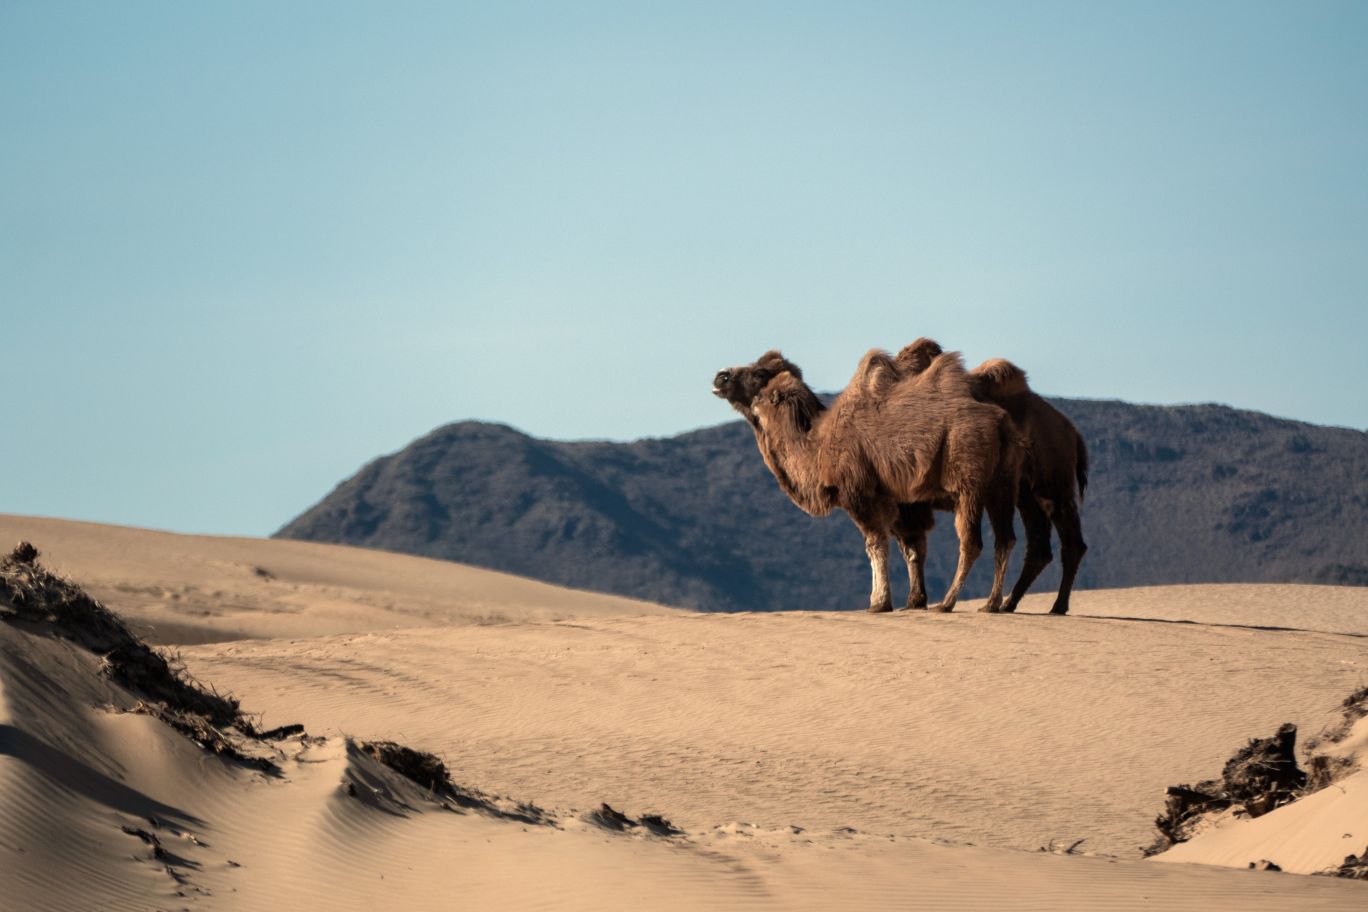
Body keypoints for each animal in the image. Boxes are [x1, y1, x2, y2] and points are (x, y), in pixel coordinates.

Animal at [713, 349, 1023, 613]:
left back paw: (947, 603)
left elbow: (875, 544)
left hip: (968, 479)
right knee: (1005, 539)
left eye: (758, 373)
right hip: (1002, 484)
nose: (720, 376)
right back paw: (991, 604)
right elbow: (912, 547)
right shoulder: (903, 500)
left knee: (971, 541)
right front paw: (912, 601)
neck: (818, 446)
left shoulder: (859, 494)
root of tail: (999, 420)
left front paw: (878, 603)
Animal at [893, 338, 1089, 614]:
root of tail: (1072, 431)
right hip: (1025, 491)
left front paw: (916, 601)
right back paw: (1008, 603)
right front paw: (914, 601)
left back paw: (1054, 606)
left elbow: (912, 544)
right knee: (1039, 545)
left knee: (1067, 540)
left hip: (1052, 482)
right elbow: (913, 545)